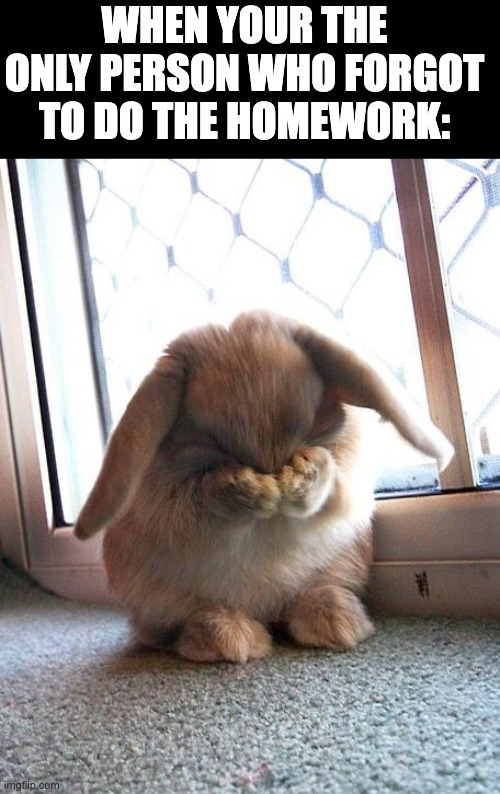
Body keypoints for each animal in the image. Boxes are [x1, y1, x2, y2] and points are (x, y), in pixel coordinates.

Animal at [74, 310, 453, 663]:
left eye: (312, 424)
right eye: (212, 441)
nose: (273, 479)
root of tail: (267, 611)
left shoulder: (348, 474)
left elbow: (333, 481)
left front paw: (302, 474)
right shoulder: (169, 507)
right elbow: (201, 498)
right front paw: (244, 488)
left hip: (342, 562)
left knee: (313, 597)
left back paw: (334, 622)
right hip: (159, 600)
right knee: (176, 626)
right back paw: (230, 638)